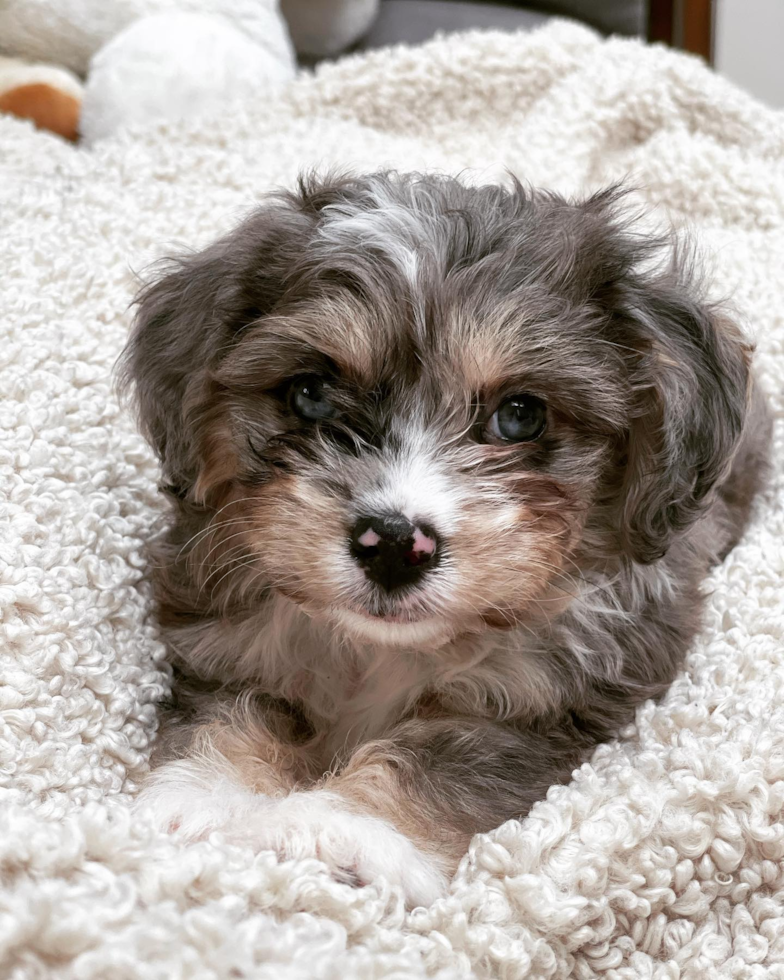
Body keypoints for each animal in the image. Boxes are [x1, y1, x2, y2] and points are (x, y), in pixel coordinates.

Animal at [125, 172, 768, 908]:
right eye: (311, 394)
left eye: (520, 415)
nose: (393, 544)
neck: (381, 651)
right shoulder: (225, 641)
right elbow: (232, 708)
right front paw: (205, 799)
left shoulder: (548, 701)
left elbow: (444, 757)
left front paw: (349, 832)